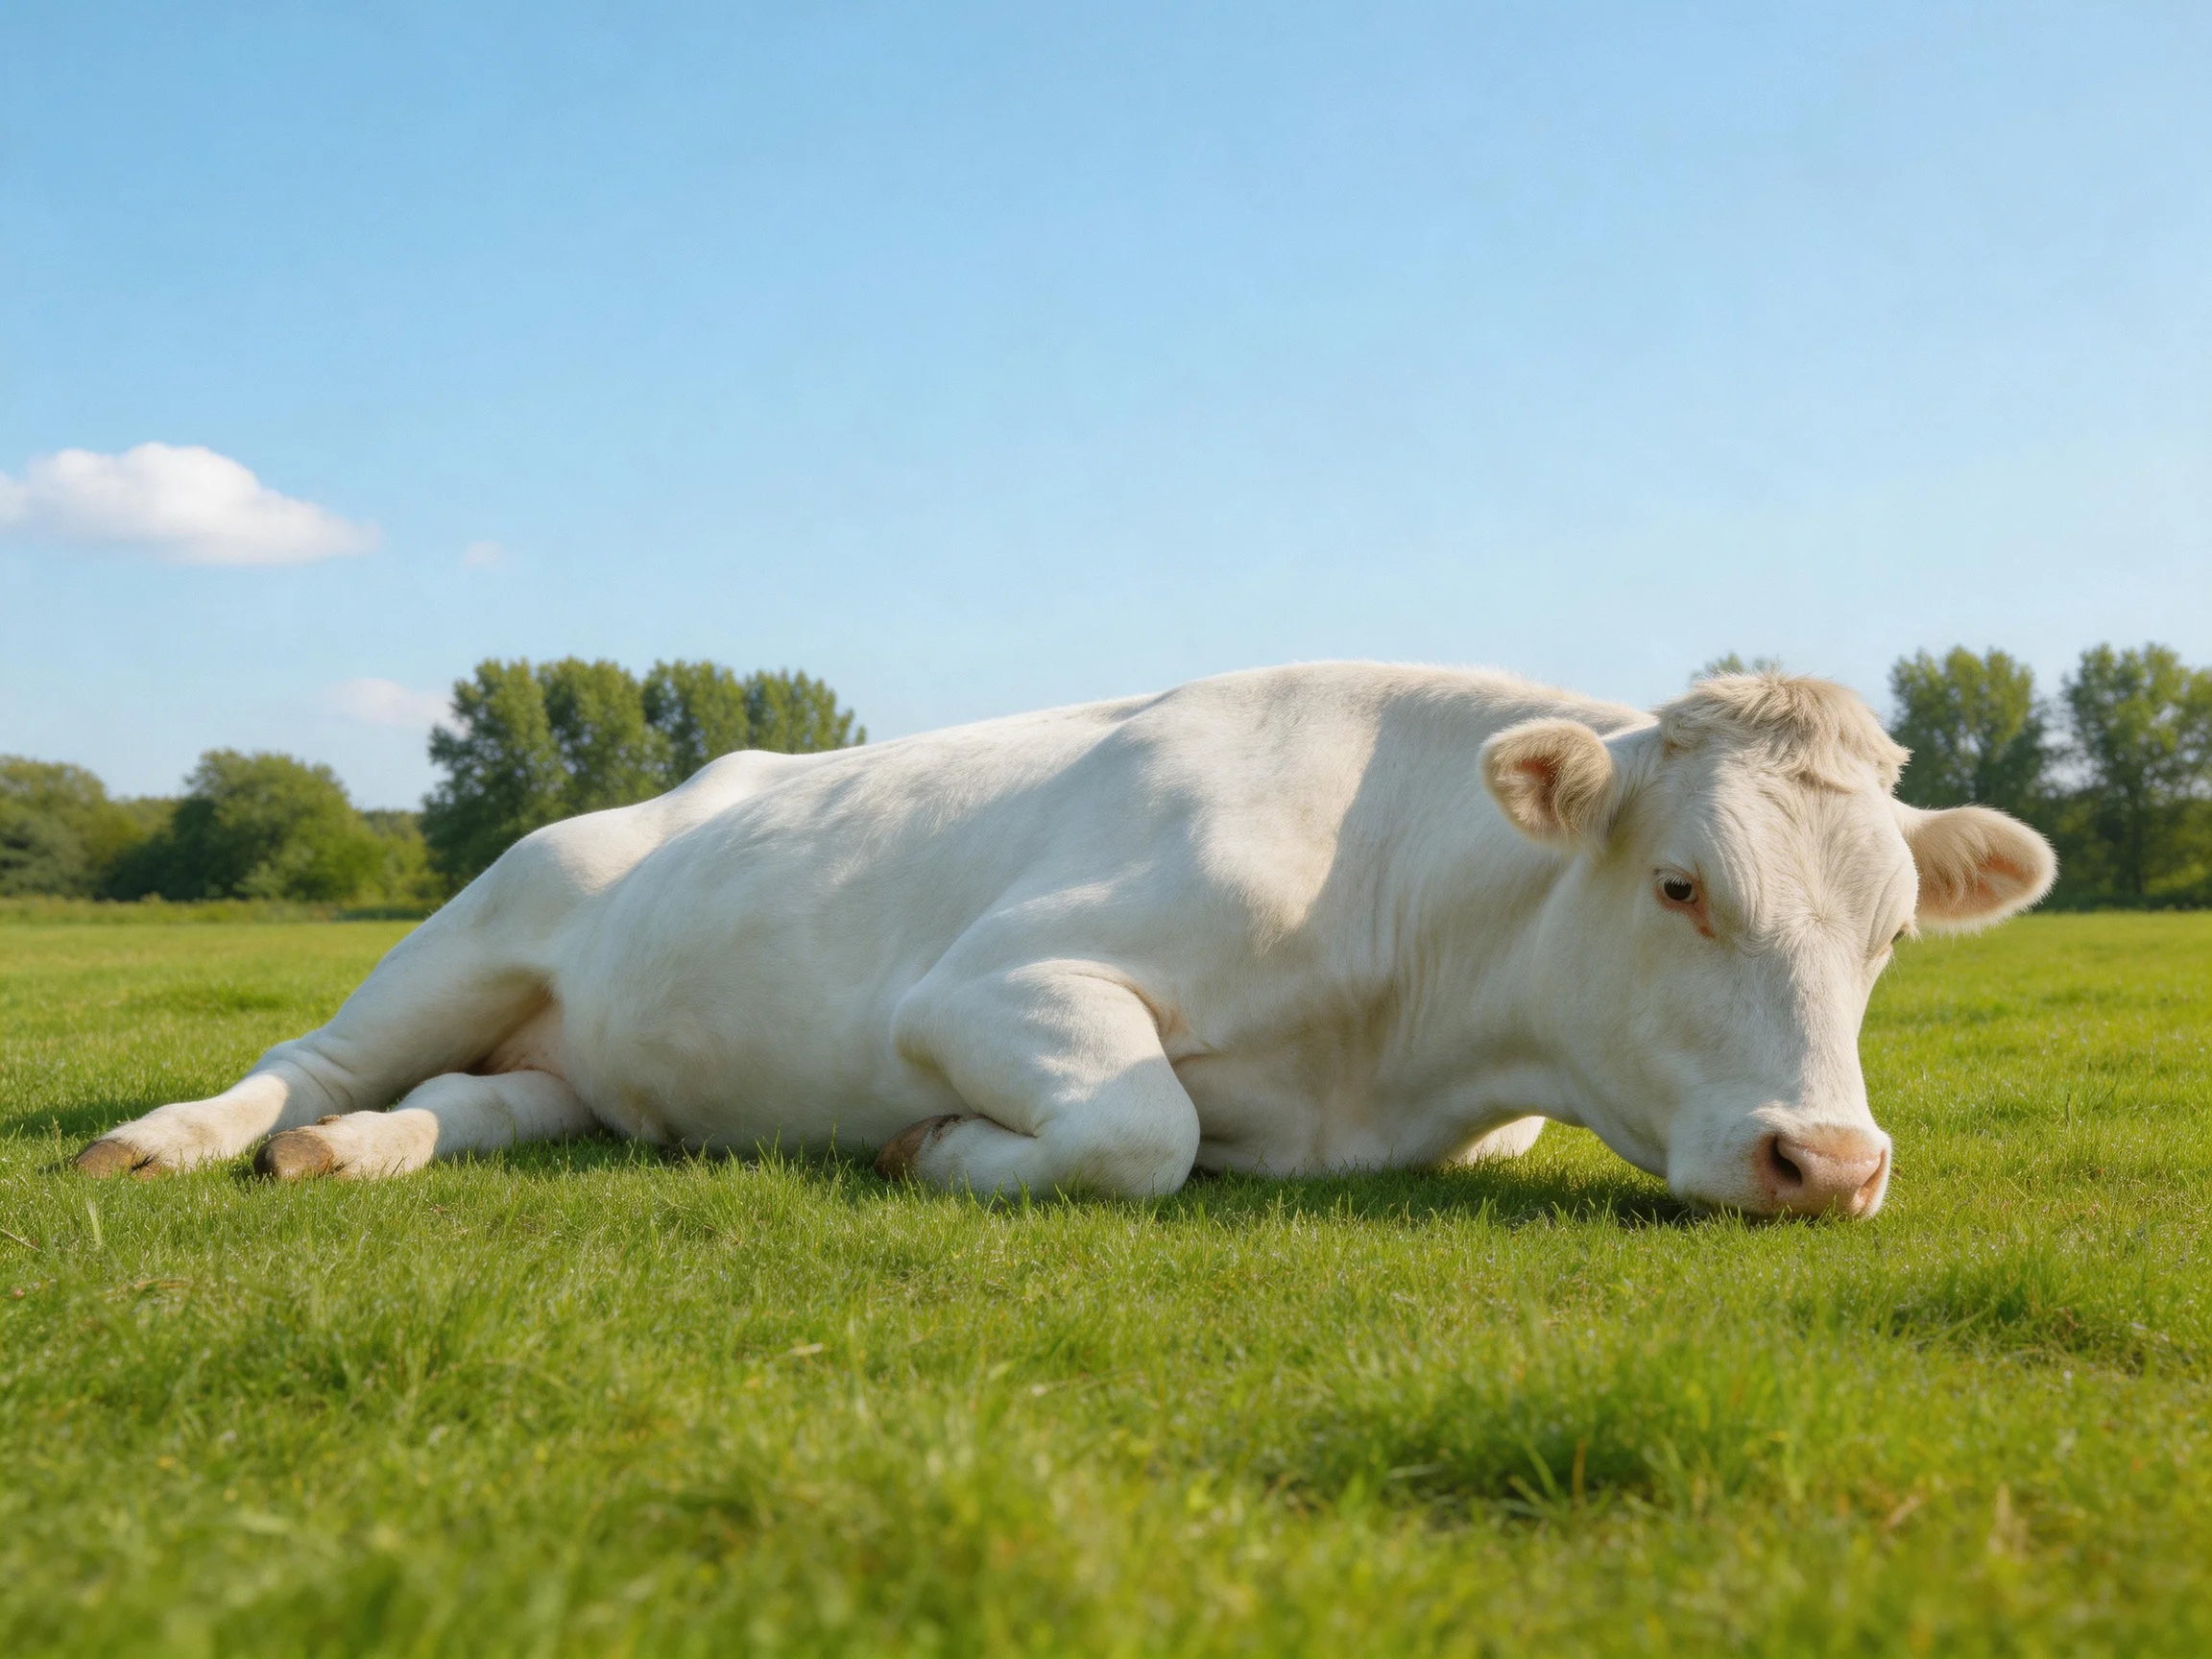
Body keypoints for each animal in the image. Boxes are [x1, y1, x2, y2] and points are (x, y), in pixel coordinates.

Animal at [74, 664, 2054, 1217]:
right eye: (1676, 886)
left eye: (1891, 931)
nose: (1826, 1161)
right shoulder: (993, 982)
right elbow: (1138, 1127)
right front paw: (926, 1145)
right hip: (483, 922)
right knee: (305, 1056)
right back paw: (184, 1136)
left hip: (579, 1058)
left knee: (477, 1103)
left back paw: (365, 1152)